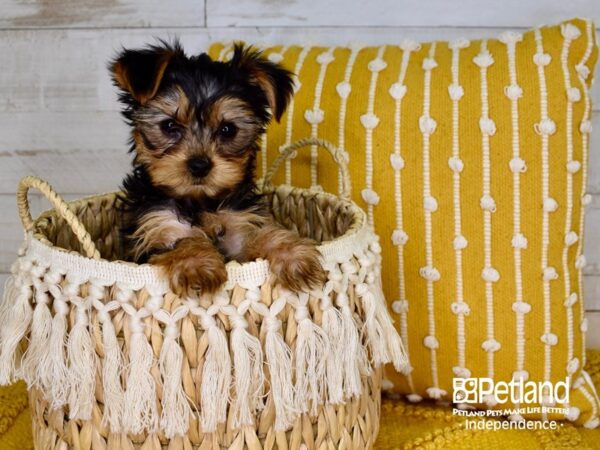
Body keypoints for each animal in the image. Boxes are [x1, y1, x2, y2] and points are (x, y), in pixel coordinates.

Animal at [112, 41, 328, 296]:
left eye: (228, 129)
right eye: (169, 126)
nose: (199, 165)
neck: (199, 202)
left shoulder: (239, 229)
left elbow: (262, 234)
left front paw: (294, 255)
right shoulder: (157, 227)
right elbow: (181, 240)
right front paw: (197, 266)